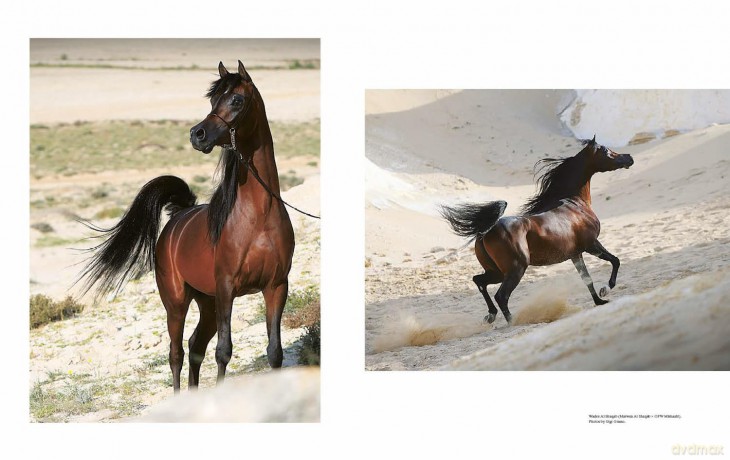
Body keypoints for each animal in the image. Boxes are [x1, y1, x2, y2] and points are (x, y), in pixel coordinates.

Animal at [77, 61, 295, 392]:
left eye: (237, 100)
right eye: (212, 99)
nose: (198, 134)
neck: (258, 217)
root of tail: (176, 219)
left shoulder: (276, 287)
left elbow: (274, 352)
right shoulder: (227, 288)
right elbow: (223, 352)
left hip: (207, 301)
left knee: (194, 346)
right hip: (177, 302)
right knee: (177, 353)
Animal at [440, 136, 633, 325]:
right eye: (606, 150)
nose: (629, 158)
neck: (575, 204)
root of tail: (485, 233)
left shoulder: (575, 254)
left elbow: (587, 279)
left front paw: (599, 301)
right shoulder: (591, 245)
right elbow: (615, 261)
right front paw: (605, 290)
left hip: (497, 272)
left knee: (479, 281)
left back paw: (491, 315)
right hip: (516, 269)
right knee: (501, 296)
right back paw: (514, 321)